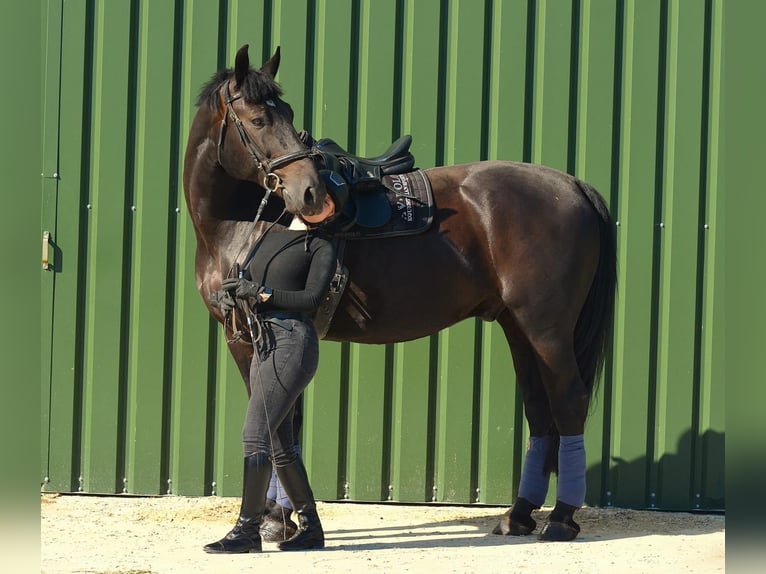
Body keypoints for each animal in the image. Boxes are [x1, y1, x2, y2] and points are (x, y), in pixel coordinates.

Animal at [183, 45, 617, 542]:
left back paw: (561, 518)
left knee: (569, 403)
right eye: (257, 119)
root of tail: (573, 186)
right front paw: (285, 517)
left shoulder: (248, 336)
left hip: (547, 329)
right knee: (540, 411)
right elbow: (285, 420)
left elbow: (274, 419)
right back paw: (519, 515)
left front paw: (273, 520)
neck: (236, 225)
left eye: (286, 115)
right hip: (519, 329)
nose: (312, 195)